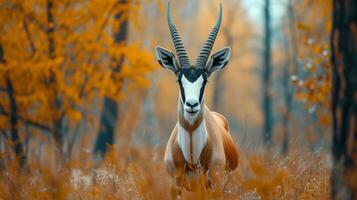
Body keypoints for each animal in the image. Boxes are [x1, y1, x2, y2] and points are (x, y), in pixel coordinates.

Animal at [154, 1, 238, 195]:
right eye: (179, 80)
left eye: (205, 80)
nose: (191, 105)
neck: (192, 157)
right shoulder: (174, 186)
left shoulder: (213, 186)